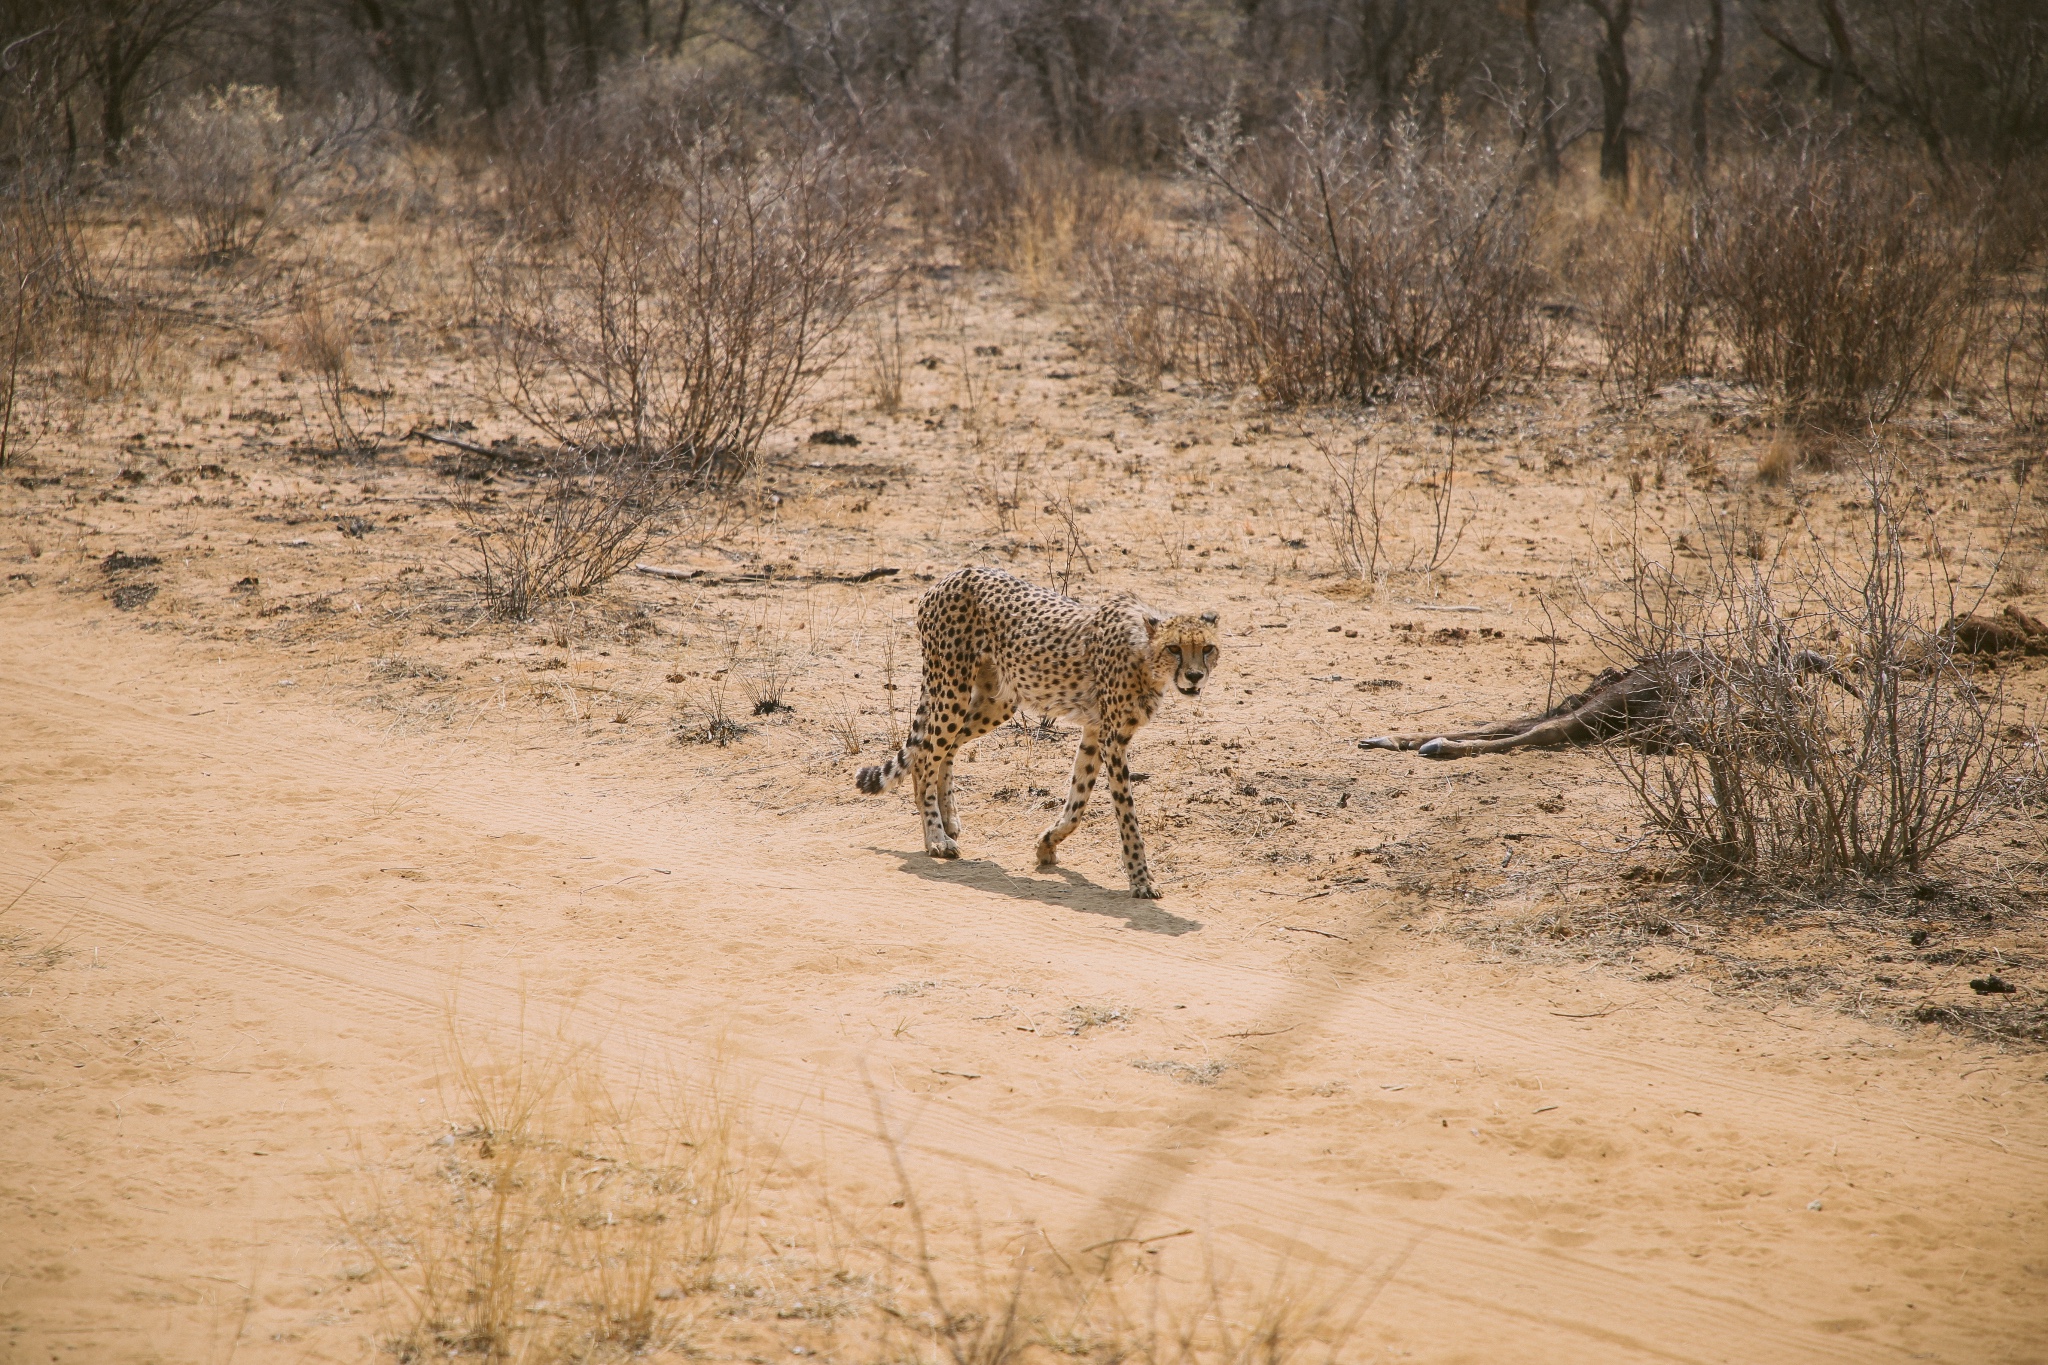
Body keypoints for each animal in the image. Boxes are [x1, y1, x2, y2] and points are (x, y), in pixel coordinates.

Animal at [851, 564, 1212, 896]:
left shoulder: (1096, 731)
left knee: (943, 749)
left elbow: (1078, 801)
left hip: (996, 701)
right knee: (926, 755)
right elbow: (1126, 814)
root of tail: (955, 574)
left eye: (1207, 648)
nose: (1195, 676)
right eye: (1175, 648)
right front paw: (1141, 879)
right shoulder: (1112, 738)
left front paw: (1046, 845)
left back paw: (948, 820)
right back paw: (936, 837)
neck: (1146, 654)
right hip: (952, 687)